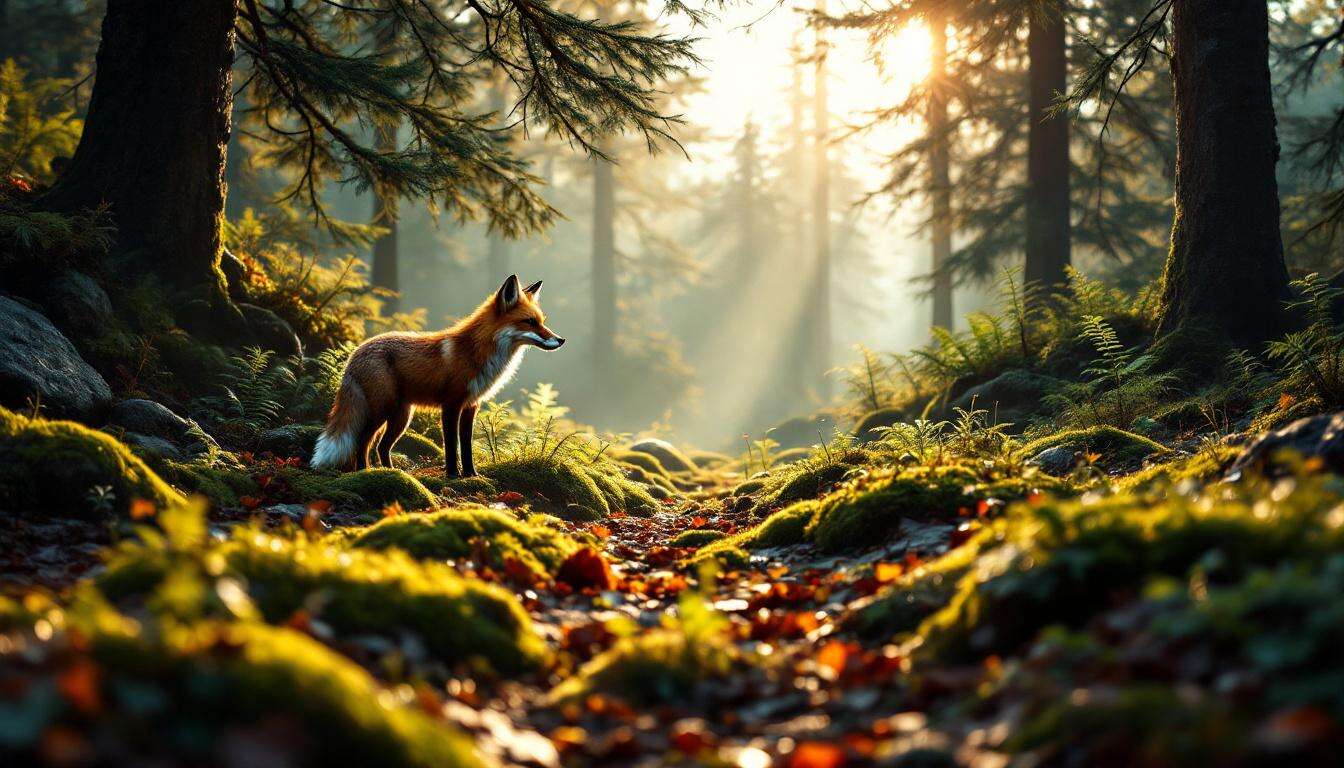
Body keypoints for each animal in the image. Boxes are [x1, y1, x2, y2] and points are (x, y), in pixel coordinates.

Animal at [310, 275, 565, 476]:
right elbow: (451, 445)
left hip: (401, 417)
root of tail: (355, 352)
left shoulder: (471, 406)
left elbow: (466, 446)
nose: (561, 340)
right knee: (362, 442)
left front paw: (471, 475)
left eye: (542, 321)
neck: (478, 352)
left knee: (382, 446)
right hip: (381, 410)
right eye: (529, 322)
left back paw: (393, 473)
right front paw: (452, 475)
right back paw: (365, 472)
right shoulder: (451, 404)